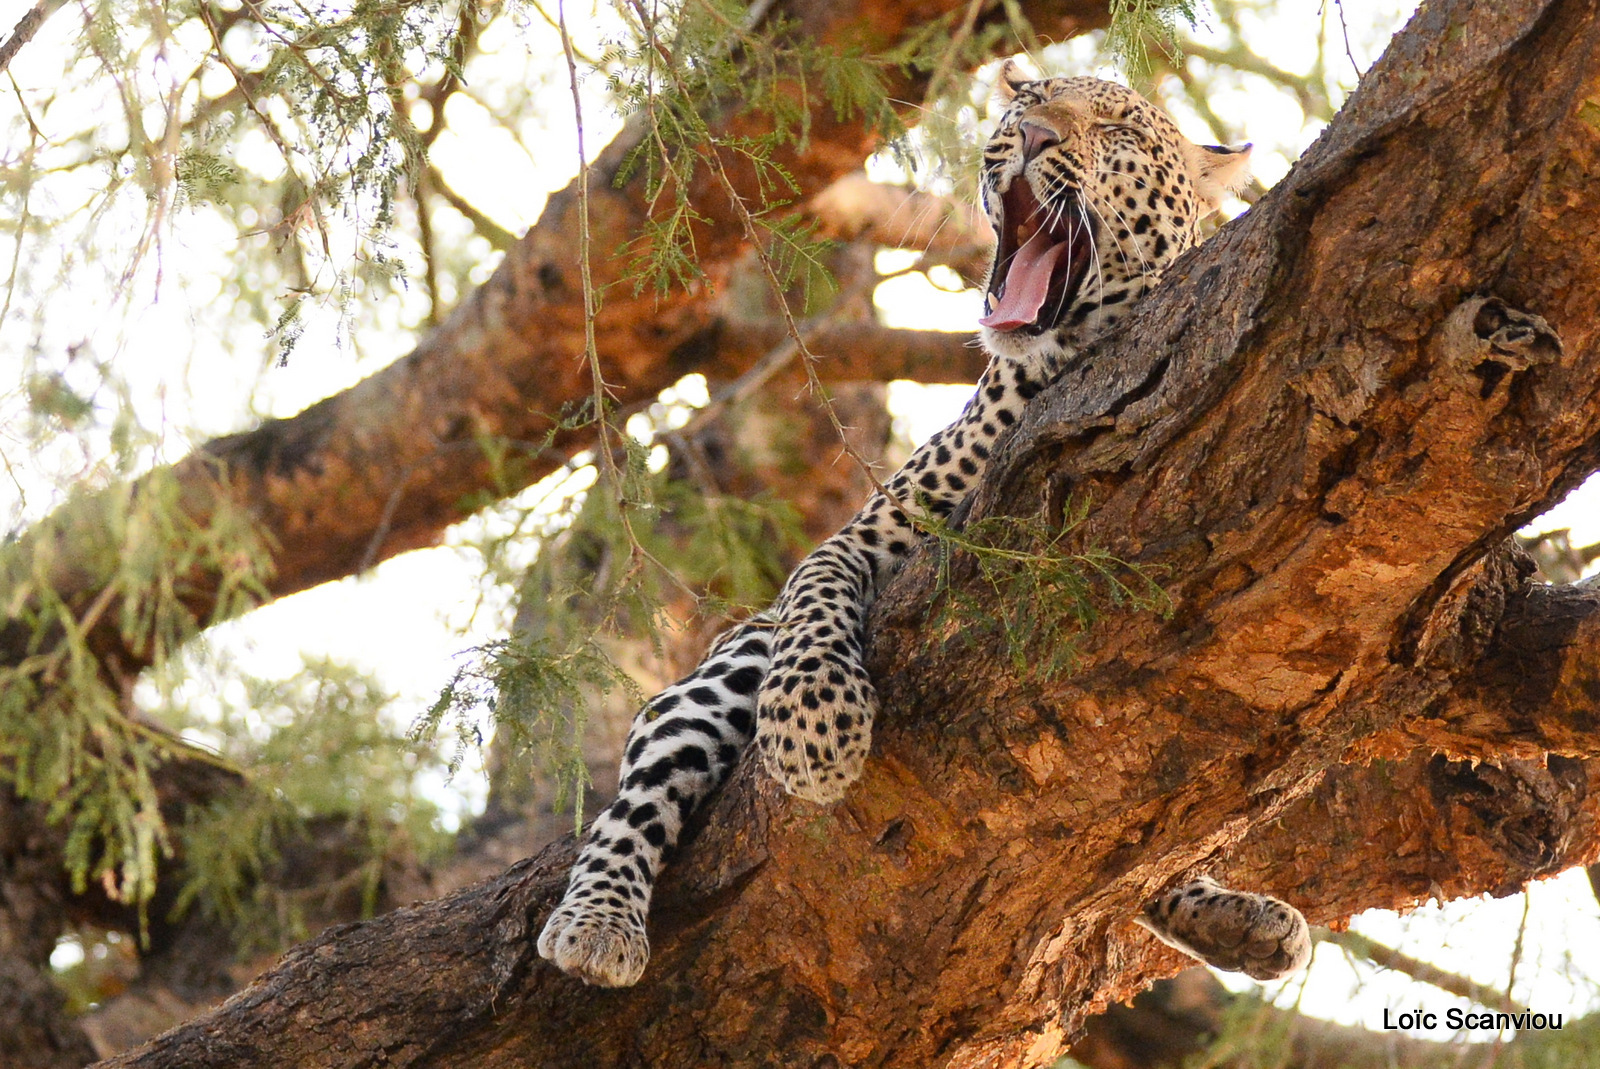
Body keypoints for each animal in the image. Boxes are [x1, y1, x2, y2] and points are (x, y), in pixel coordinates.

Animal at [537, 64, 1312, 985]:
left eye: (1117, 128)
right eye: (1030, 99)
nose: (1035, 135)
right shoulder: (865, 534)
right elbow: (816, 591)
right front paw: (812, 724)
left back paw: (1240, 919)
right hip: (727, 658)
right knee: (648, 768)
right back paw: (597, 918)